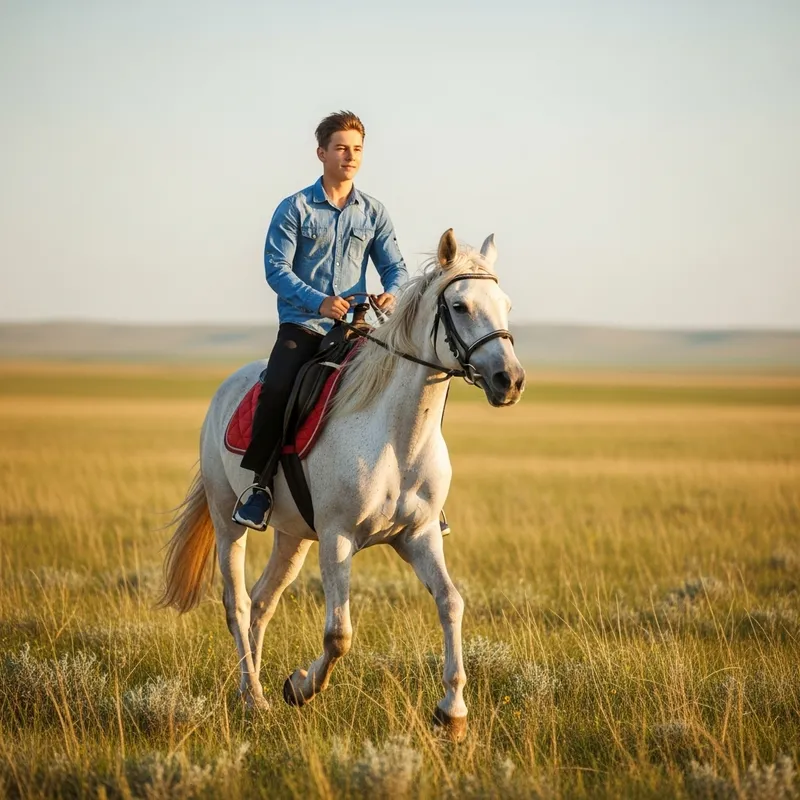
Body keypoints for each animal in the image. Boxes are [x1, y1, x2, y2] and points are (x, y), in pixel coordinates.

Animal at [158, 228, 525, 740]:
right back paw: (255, 698)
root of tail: (226, 389)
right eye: (460, 306)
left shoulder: (419, 535)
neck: (397, 437)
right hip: (227, 518)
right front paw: (299, 687)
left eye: (506, 304)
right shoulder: (337, 538)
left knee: (262, 603)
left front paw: (452, 712)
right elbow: (339, 635)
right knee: (237, 605)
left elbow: (451, 602)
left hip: (292, 537)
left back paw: (251, 692)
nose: (509, 379)